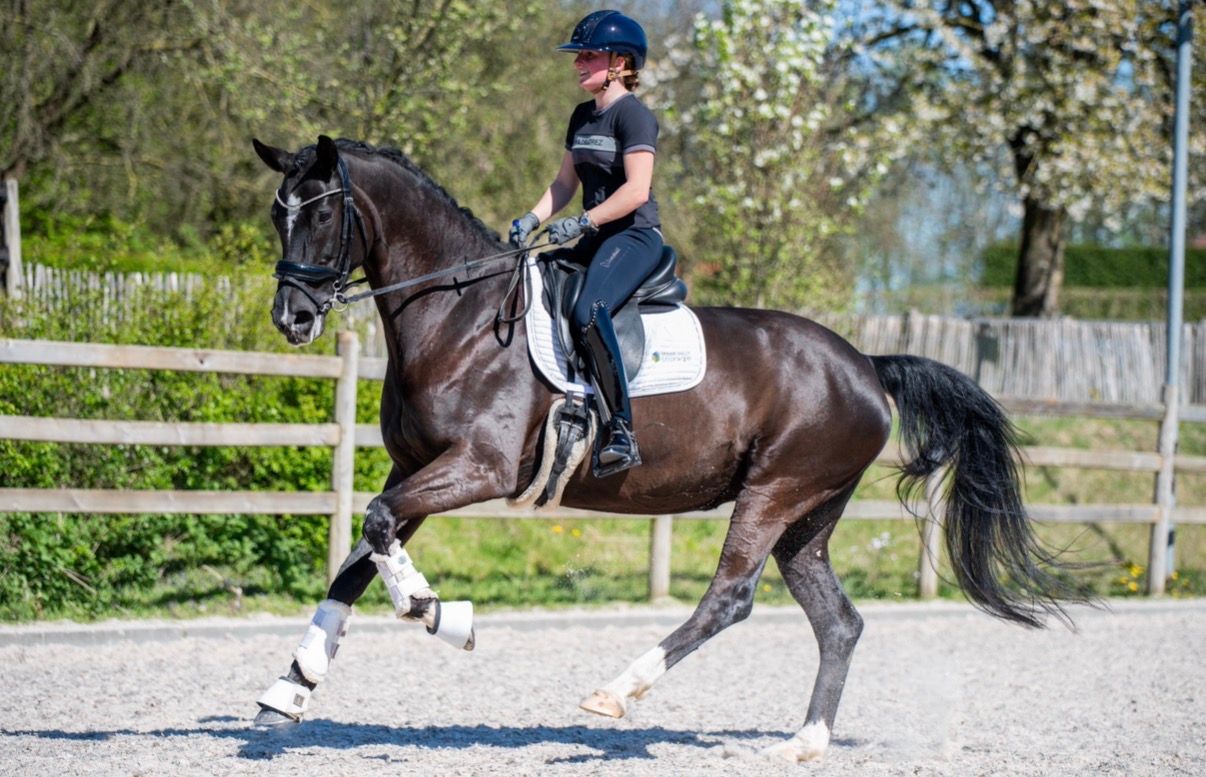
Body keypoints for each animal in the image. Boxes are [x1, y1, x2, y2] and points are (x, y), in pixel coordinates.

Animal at [248, 135, 1091, 762]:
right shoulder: (417, 466)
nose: (292, 317)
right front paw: (293, 684)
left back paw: (615, 691)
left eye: (323, 214)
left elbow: (377, 525)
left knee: (730, 596)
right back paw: (804, 742)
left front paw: (436, 611)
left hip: (775, 492)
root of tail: (864, 363)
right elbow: (363, 549)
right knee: (839, 620)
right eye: (276, 214)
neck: (461, 317)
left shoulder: (477, 468)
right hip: (809, 517)